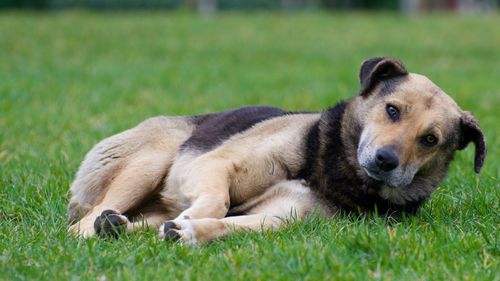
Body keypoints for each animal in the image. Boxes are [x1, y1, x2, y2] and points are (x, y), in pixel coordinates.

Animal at [68, 57, 486, 243]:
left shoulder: (284, 218)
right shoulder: (213, 164)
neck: (329, 170)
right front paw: (195, 214)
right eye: (392, 109)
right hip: (150, 161)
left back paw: (119, 226)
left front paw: (189, 230)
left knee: (132, 221)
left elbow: (227, 223)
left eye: (430, 139)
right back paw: (96, 228)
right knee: (79, 225)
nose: (386, 161)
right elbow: (218, 200)